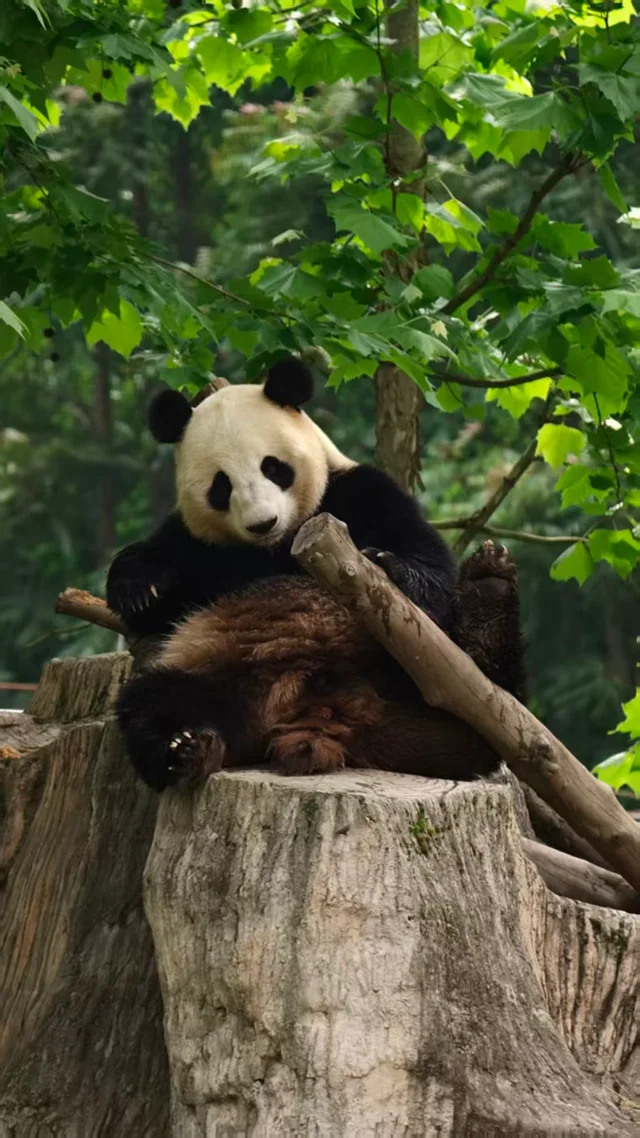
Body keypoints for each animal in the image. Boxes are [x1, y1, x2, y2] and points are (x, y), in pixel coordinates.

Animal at [108, 357, 524, 792]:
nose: (263, 522)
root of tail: (319, 710)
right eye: (221, 485)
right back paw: (186, 750)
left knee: (474, 712)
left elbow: (428, 564)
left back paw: (488, 594)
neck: (277, 545)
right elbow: (155, 602)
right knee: (152, 702)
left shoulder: (360, 489)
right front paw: (139, 589)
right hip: (217, 673)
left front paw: (387, 566)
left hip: (410, 669)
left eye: (273, 467)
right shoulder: (200, 545)